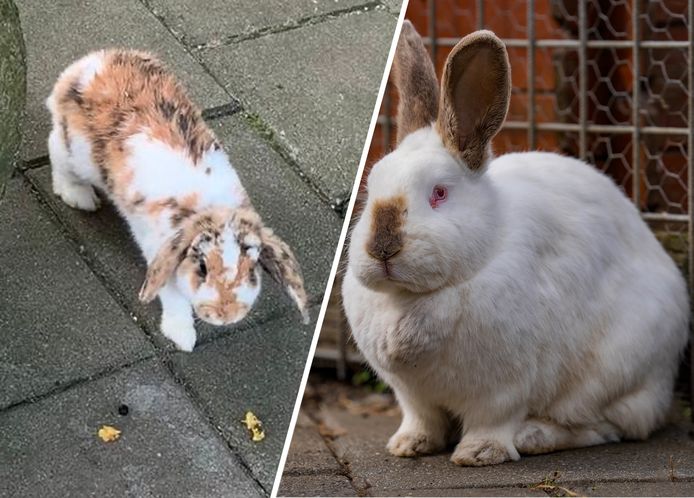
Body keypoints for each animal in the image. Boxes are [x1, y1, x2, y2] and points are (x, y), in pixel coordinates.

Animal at [47, 47, 310, 350]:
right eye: (202, 268)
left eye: (252, 270)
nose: (225, 316)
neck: (210, 208)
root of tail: (87, 64)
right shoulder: (162, 256)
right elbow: (174, 300)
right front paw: (183, 338)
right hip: (75, 152)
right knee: (56, 151)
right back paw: (80, 197)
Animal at [342, 22, 692, 466]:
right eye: (371, 188)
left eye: (439, 193)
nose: (382, 248)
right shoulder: (412, 396)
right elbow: (422, 420)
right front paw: (408, 446)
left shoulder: (503, 388)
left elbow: (492, 421)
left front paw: (478, 453)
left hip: (614, 374)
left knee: (607, 426)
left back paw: (534, 436)